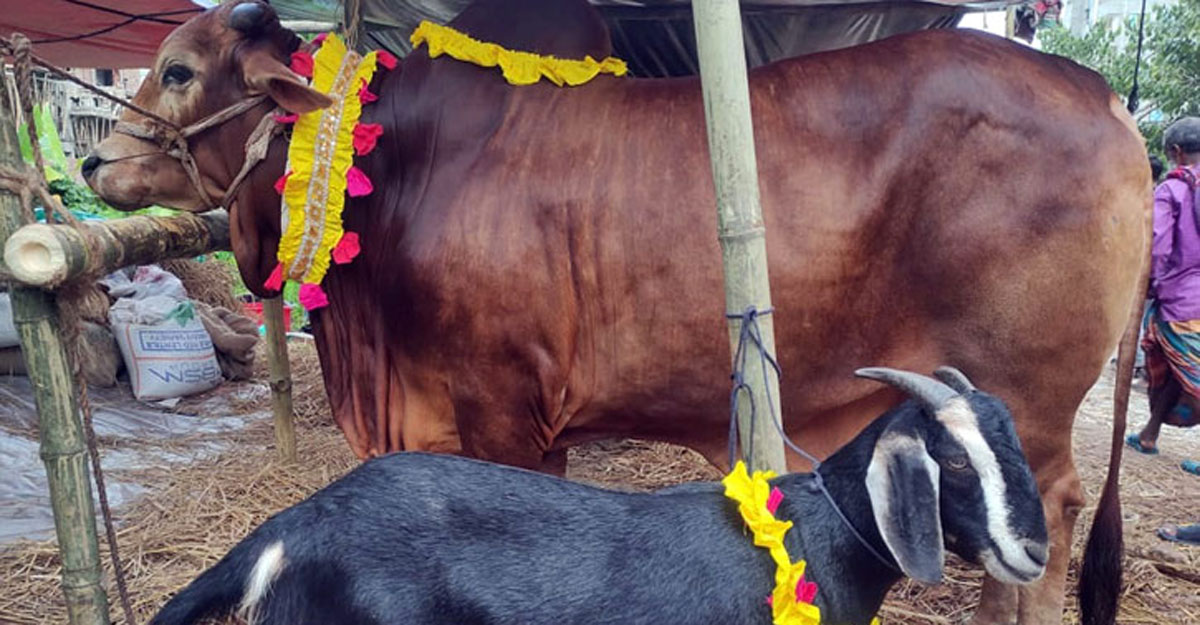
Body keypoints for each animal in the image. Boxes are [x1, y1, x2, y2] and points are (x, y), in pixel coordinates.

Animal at [82, 1, 1150, 624]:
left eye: (177, 70)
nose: (91, 160)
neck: (399, 173)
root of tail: (1103, 96)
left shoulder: (501, 412)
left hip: (1028, 405)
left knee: (1043, 528)